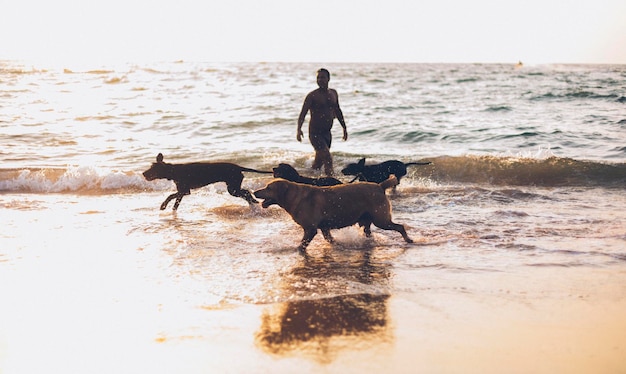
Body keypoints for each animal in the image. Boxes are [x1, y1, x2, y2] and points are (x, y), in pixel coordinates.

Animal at [143, 153, 272, 210]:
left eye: (152, 168)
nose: (143, 173)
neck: (174, 171)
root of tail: (238, 167)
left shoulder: (185, 191)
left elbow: (170, 196)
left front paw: (163, 205)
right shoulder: (182, 192)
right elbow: (175, 203)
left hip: (233, 188)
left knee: (246, 193)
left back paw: (253, 202)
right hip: (234, 187)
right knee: (246, 193)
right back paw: (253, 203)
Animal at [251, 176, 412, 253]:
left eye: (268, 188)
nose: (254, 192)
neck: (292, 196)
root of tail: (379, 186)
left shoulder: (310, 228)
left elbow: (303, 244)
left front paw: (297, 250)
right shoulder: (324, 227)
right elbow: (329, 238)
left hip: (381, 219)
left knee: (400, 226)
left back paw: (408, 239)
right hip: (368, 220)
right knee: (368, 232)